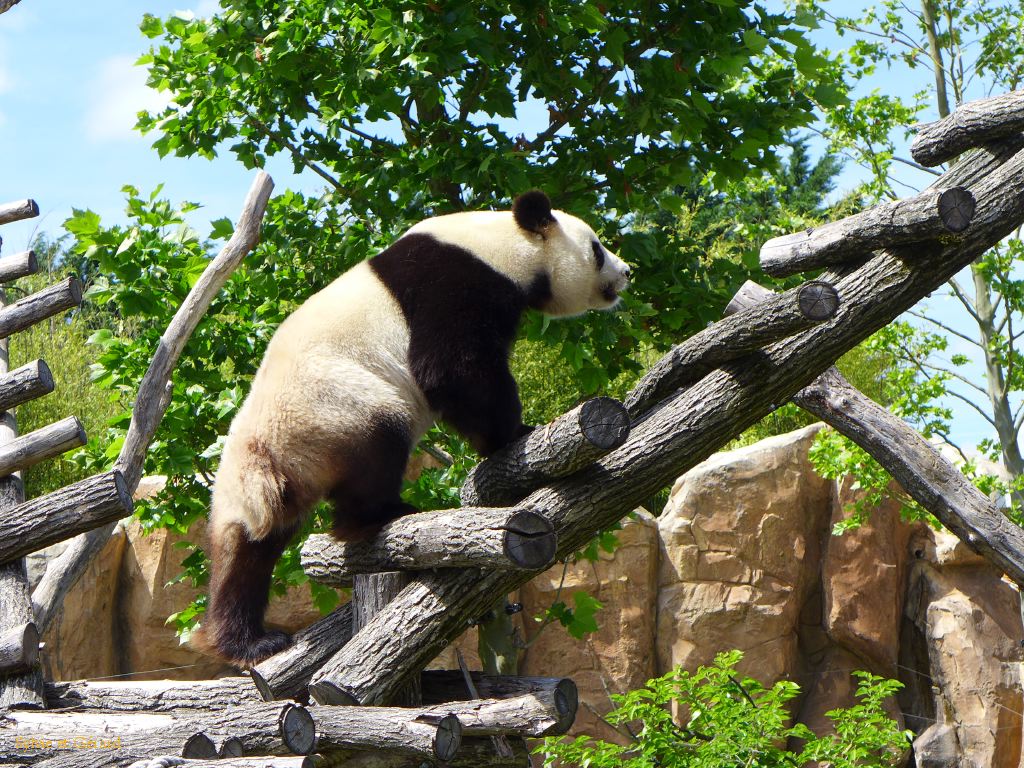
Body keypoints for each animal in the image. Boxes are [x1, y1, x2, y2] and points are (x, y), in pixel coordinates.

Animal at [199, 190, 631, 666]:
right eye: (596, 248)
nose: (626, 273)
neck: (500, 243)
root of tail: (265, 452)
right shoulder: (452, 283)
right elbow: (452, 369)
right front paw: (511, 434)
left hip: (264, 484)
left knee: (245, 554)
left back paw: (250, 641)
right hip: (337, 407)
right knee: (377, 448)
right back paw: (385, 513)